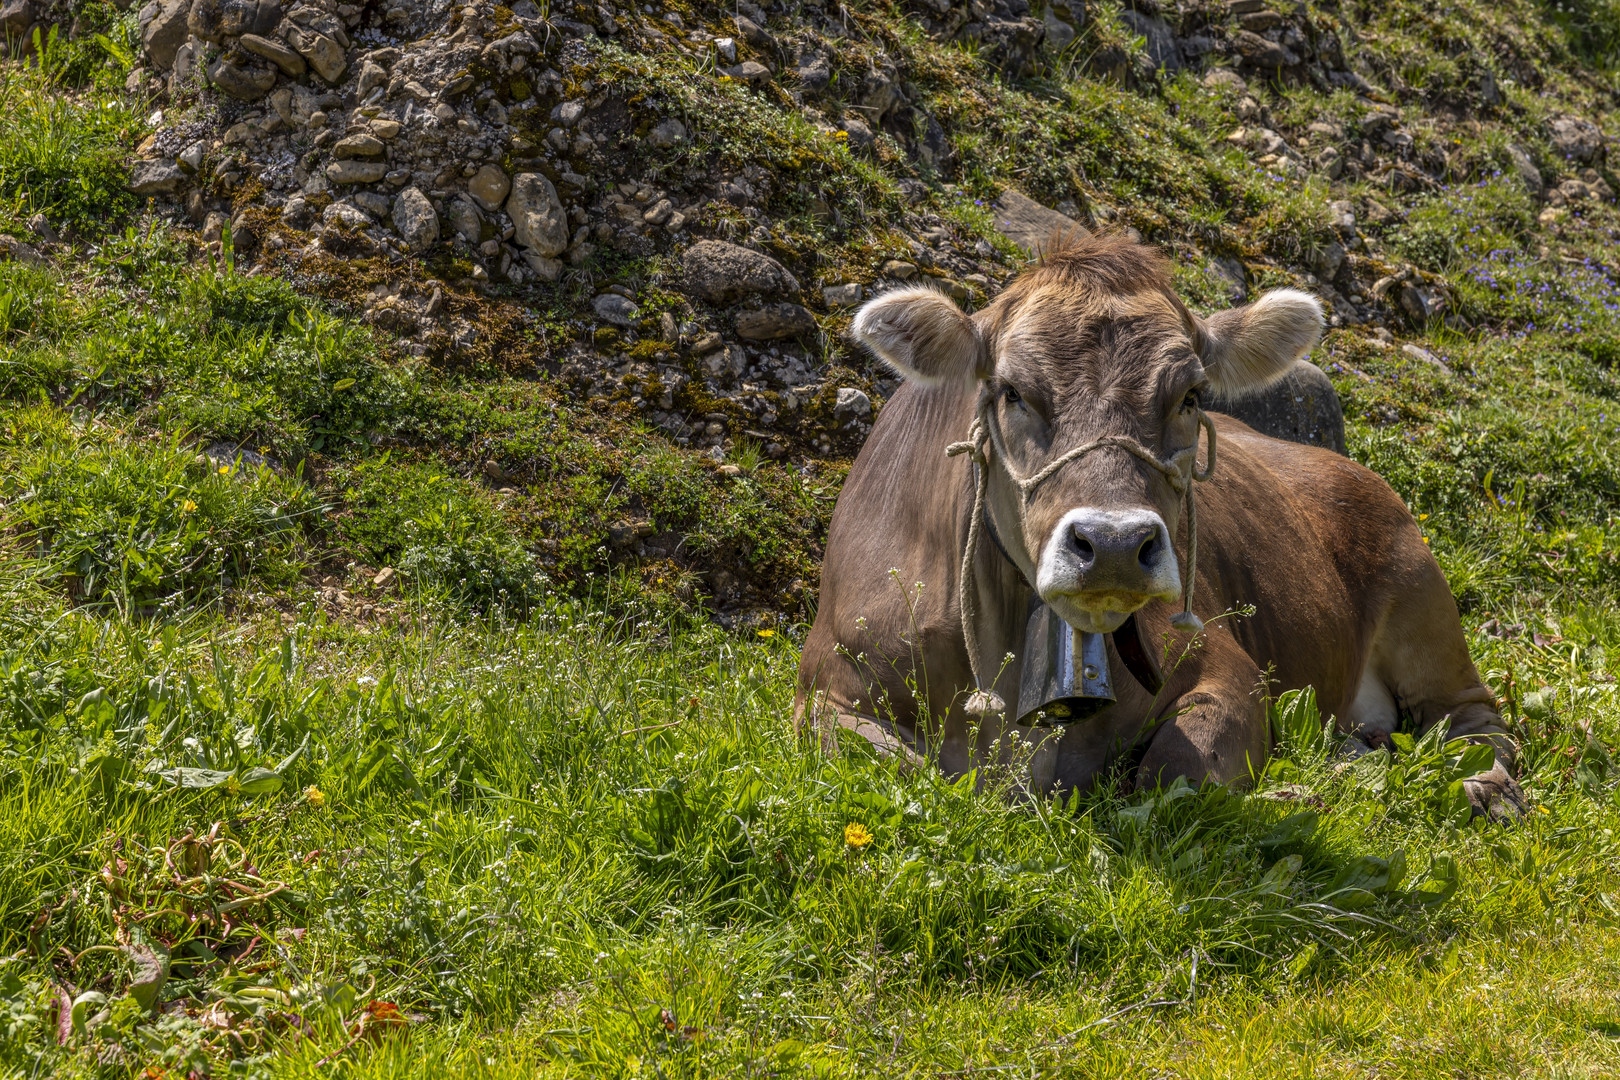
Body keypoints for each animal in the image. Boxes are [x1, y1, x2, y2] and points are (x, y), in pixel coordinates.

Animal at [803, 229, 1522, 819]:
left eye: (1191, 396)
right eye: (1011, 391)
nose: (1115, 544)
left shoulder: (1227, 670)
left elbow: (1171, 775)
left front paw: (1288, 794)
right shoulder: (824, 689)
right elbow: (895, 771)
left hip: (1422, 600)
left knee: (1473, 713)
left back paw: (1484, 787)